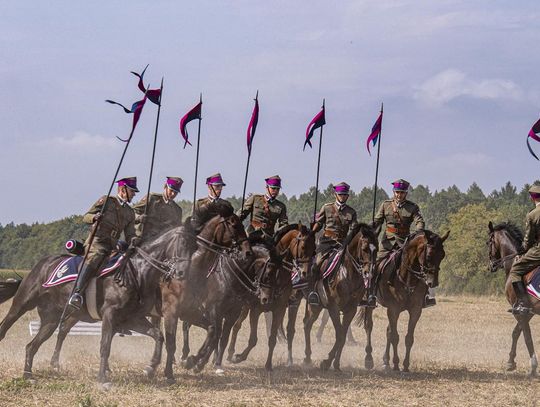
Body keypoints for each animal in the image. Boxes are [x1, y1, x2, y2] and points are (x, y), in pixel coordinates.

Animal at [0, 223, 198, 384]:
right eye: (182, 244)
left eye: (195, 248)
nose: (183, 273)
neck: (136, 272)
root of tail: (42, 263)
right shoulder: (110, 316)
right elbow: (105, 345)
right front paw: (102, 377)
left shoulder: (132, 319)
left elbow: (158, 336)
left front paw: (151, 368)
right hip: (23, 304)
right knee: (7, 325)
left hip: (51, 320)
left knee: (33, 345)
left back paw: (28, 375)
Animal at [226, 223, 316, 371]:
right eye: (303, 247)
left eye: (314, 249)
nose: (306, 273)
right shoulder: (256, 310)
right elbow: (253, 339)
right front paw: (239, 357)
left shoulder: (280, 309)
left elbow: (273, 338)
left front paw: (268, 365)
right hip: (244, 306)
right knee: (236, 325)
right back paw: (230, 353)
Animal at [297, 223, 377, 371]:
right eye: (364, 248)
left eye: (377, 249)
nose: (369, 274)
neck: (346, 274)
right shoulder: (333, 308)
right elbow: (339, 334)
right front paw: (327, 362)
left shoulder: (350, 309)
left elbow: (343, 335)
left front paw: (335, 363)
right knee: (306, 324)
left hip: (317, 306)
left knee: (307, 324)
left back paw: (308, 357)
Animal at [375, 229, 449, 372]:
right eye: (429, 255)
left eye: (442, 255)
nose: (433, 282)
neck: (407, 278)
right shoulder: (393, 310)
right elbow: (395, 336)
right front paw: (396, 364)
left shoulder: (415, 310)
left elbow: (408, 338)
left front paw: (405, 365)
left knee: (388, 331)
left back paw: (386, 361)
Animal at [487, 221, 539, 376]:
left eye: (488, 242)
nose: (491, 266)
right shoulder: (527, 311)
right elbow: (516, 332)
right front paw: (511, 361)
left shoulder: (520, 312)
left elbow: (526, 336)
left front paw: (533, 366)